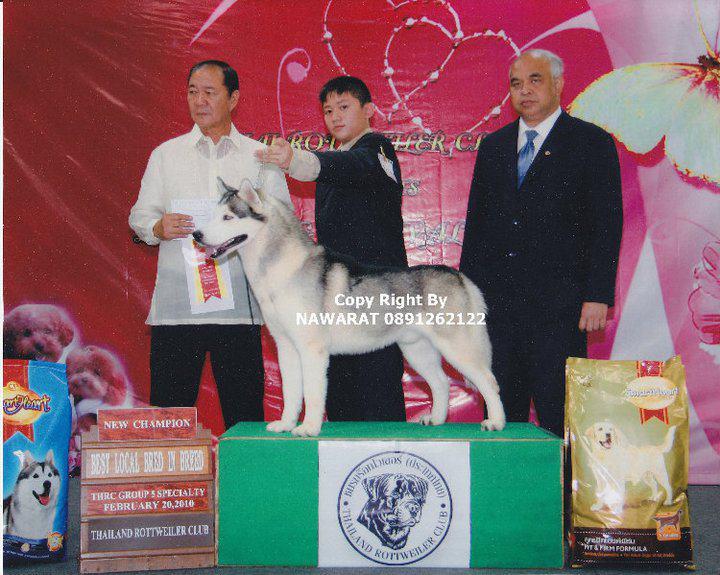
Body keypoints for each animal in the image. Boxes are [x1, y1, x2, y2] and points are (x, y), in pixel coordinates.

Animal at [193, 178, 505, 436]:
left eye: (228, 217)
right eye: (212, 215)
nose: (196, 234)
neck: (282, 270)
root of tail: (458, 275)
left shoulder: (312, 349)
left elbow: (312, 393)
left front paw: (308, 428)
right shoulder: (286, 348)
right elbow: (291, 392)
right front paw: (285, 424)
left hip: (457, 348)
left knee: (489, 381)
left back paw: (496, 422)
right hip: (417, 350)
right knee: (441, 383)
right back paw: (437, 419)